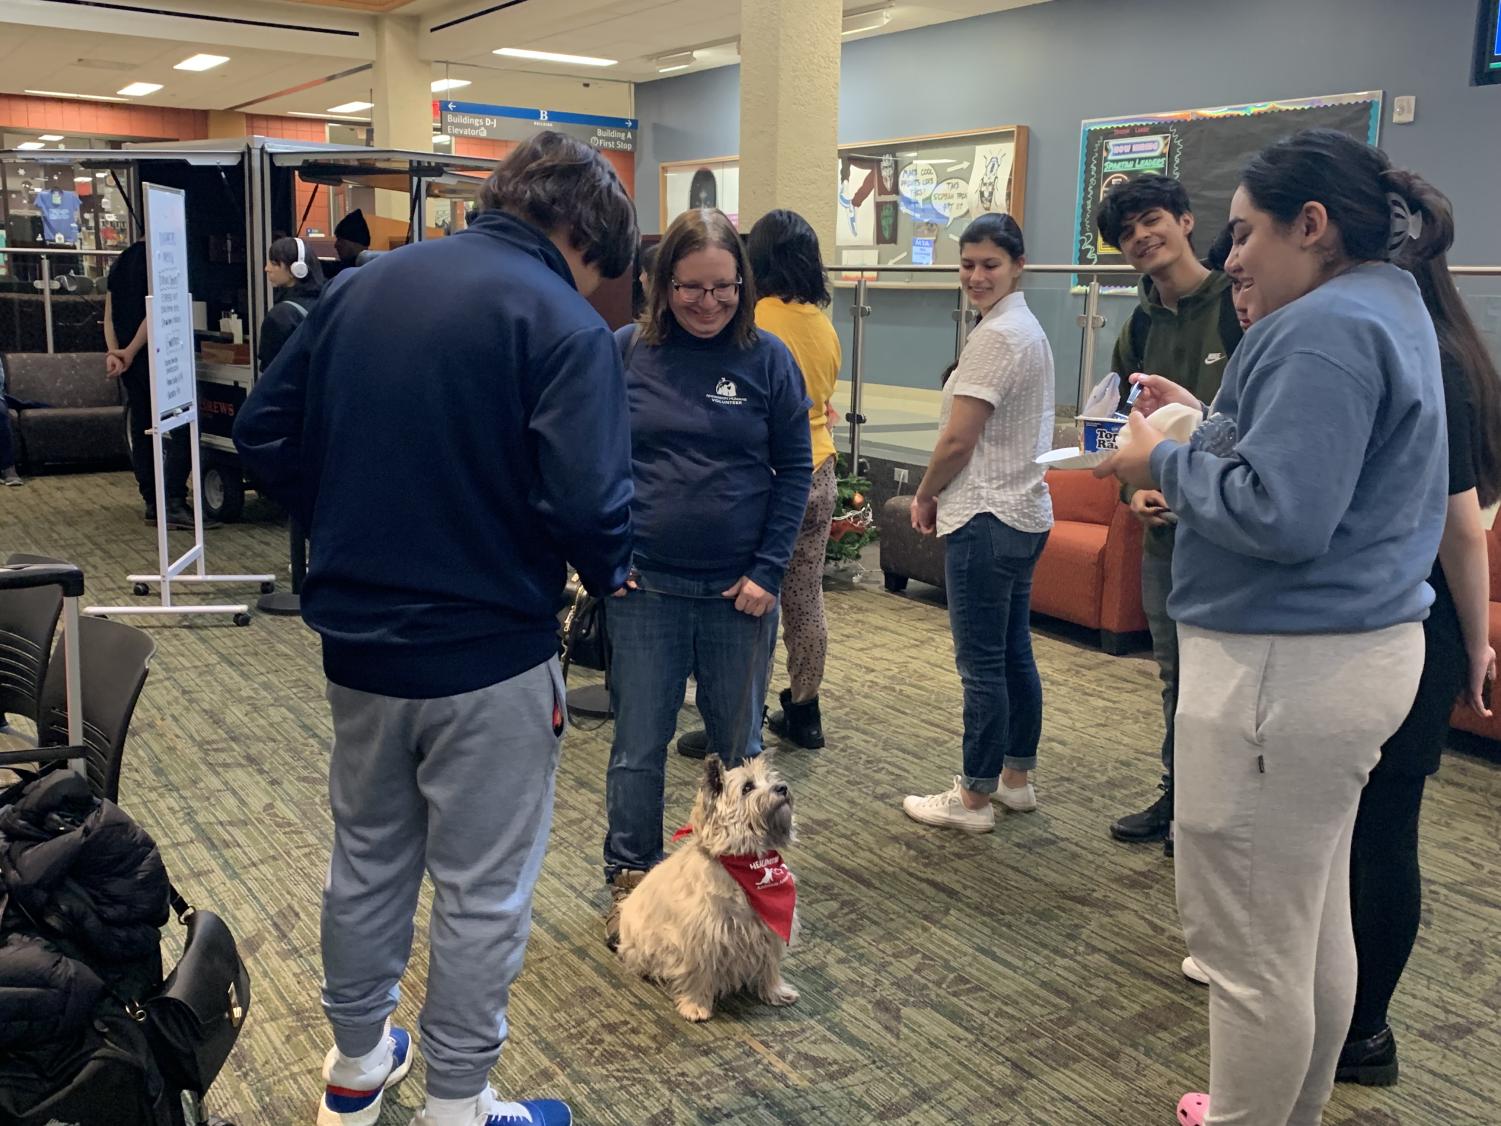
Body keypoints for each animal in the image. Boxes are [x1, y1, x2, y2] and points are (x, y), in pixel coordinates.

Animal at [612, 753, 798, 1026]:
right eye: (747, 787)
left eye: (769, 779)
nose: (783, 787)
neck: (745, 863)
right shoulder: (701, 937)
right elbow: (698, 973)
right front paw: (695, 1006)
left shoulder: (768, 928)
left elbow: (769, 964)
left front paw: (776, 991)